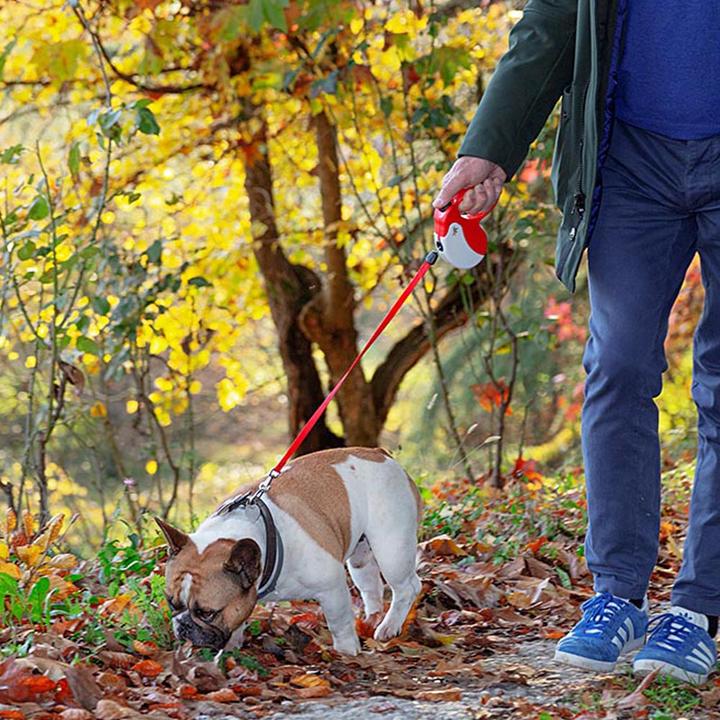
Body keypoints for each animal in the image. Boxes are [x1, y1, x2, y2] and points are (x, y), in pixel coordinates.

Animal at [153, 450, 422, 660]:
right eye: (171, 603)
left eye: (208, 613)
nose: (183, 625)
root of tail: (381, 454)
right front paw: (232, 645)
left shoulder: (332, 588)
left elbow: (339, 623)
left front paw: (346, 651)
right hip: (360, 556)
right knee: (370, 584)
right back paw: (372, 619)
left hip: (392, 548)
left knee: (408, 586)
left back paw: (389, 626)